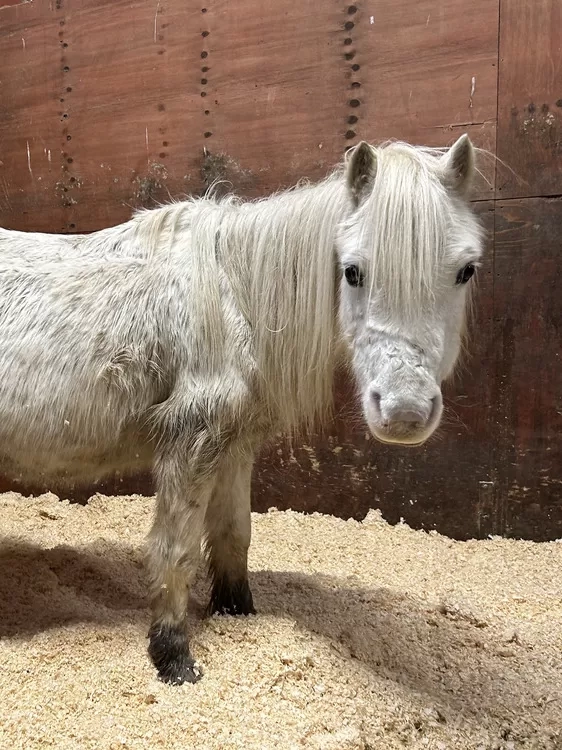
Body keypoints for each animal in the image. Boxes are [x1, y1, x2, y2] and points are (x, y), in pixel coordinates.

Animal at [0, 134, 482, 680]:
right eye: (352, 271)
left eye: (466, 269)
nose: (404, 413)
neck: (237, 295)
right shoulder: (192, 440)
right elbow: (176, 549)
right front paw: (172, 655)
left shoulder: (233, 445)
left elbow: (234, 536)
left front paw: (238, 611)